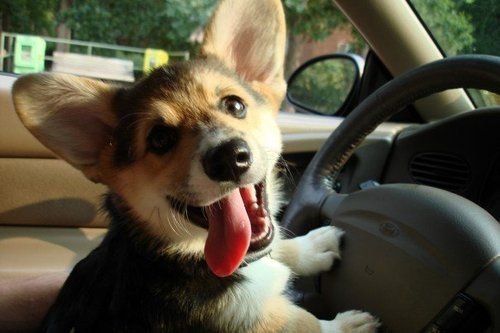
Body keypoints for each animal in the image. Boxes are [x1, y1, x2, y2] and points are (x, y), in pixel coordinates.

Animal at [11, 0, 378, 332]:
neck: (184, 256)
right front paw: (345, 326)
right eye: (160, 138)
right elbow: (303, 322)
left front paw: (312, 246)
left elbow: (282, 247)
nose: (228, 157)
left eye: (235, 105)